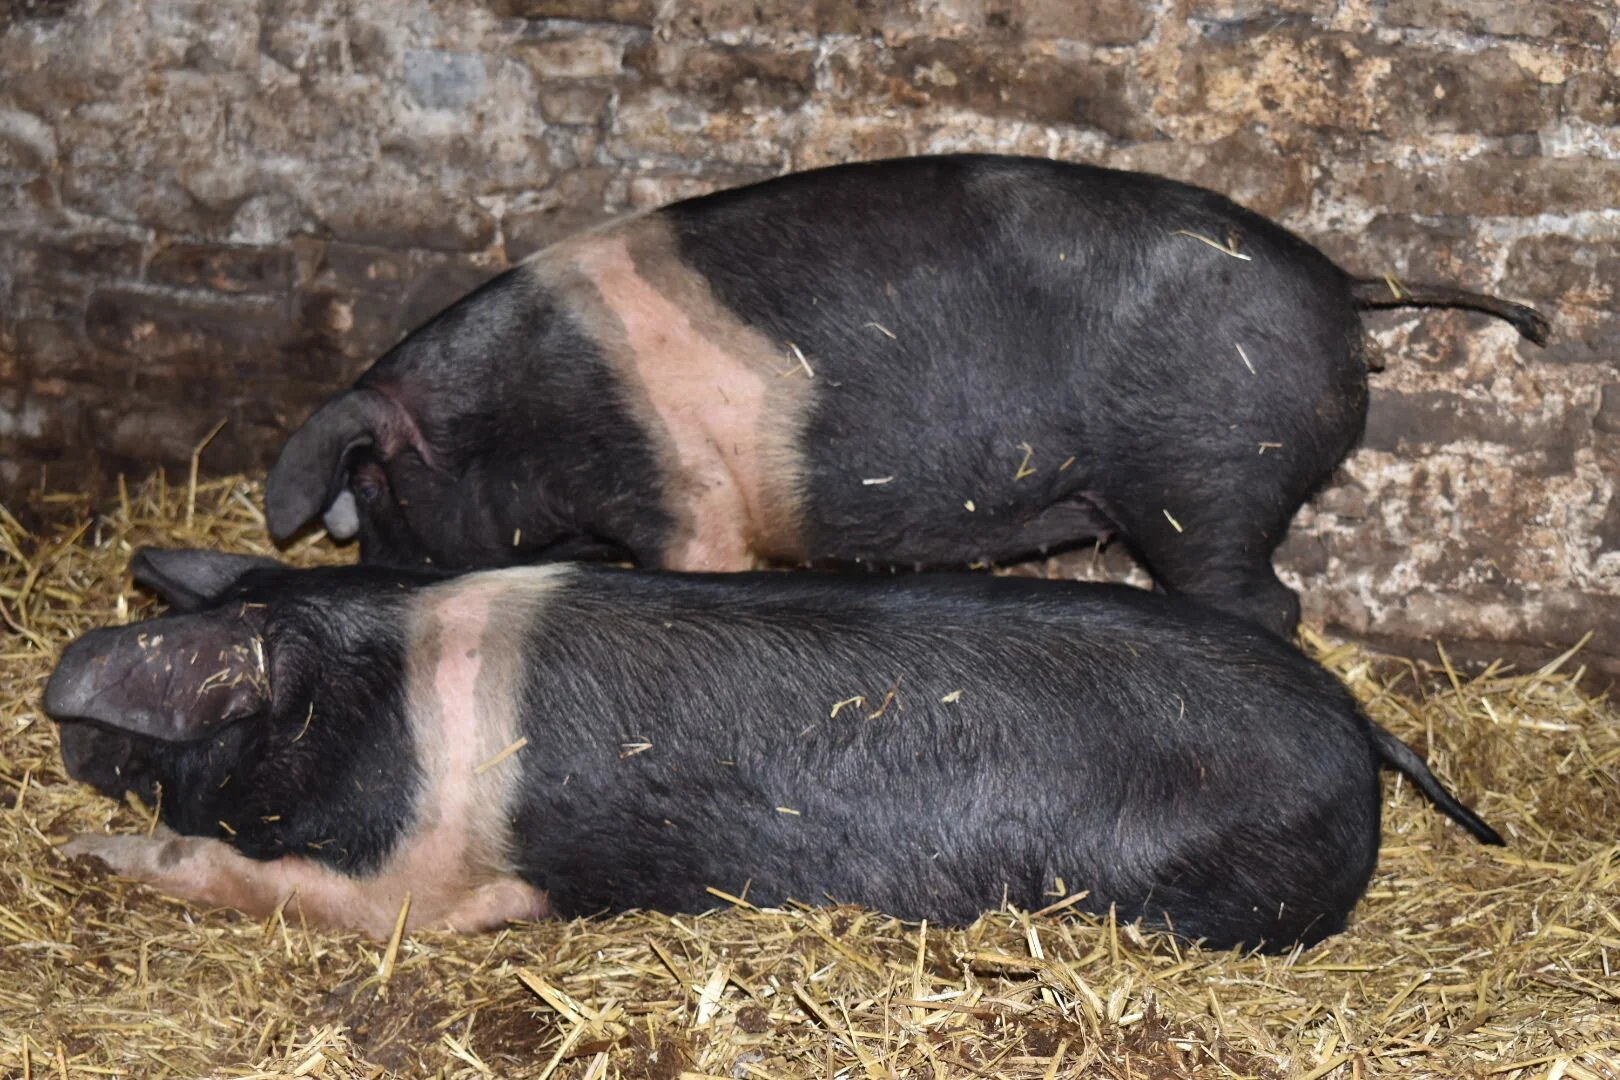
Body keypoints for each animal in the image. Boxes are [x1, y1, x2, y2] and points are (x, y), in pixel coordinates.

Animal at [45, 548, 1502, 952]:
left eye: (187, 745)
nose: (71, 754)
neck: (378, 697)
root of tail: (1356, 722)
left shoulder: (430, 880)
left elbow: (268, 880)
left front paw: (89, 849)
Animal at [264, 154, 1550, 639]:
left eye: (375, 496)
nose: (363, 582)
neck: (522, 413)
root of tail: (1348, 285)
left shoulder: (687, 501)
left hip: (1211, 476)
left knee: (1266, 599)